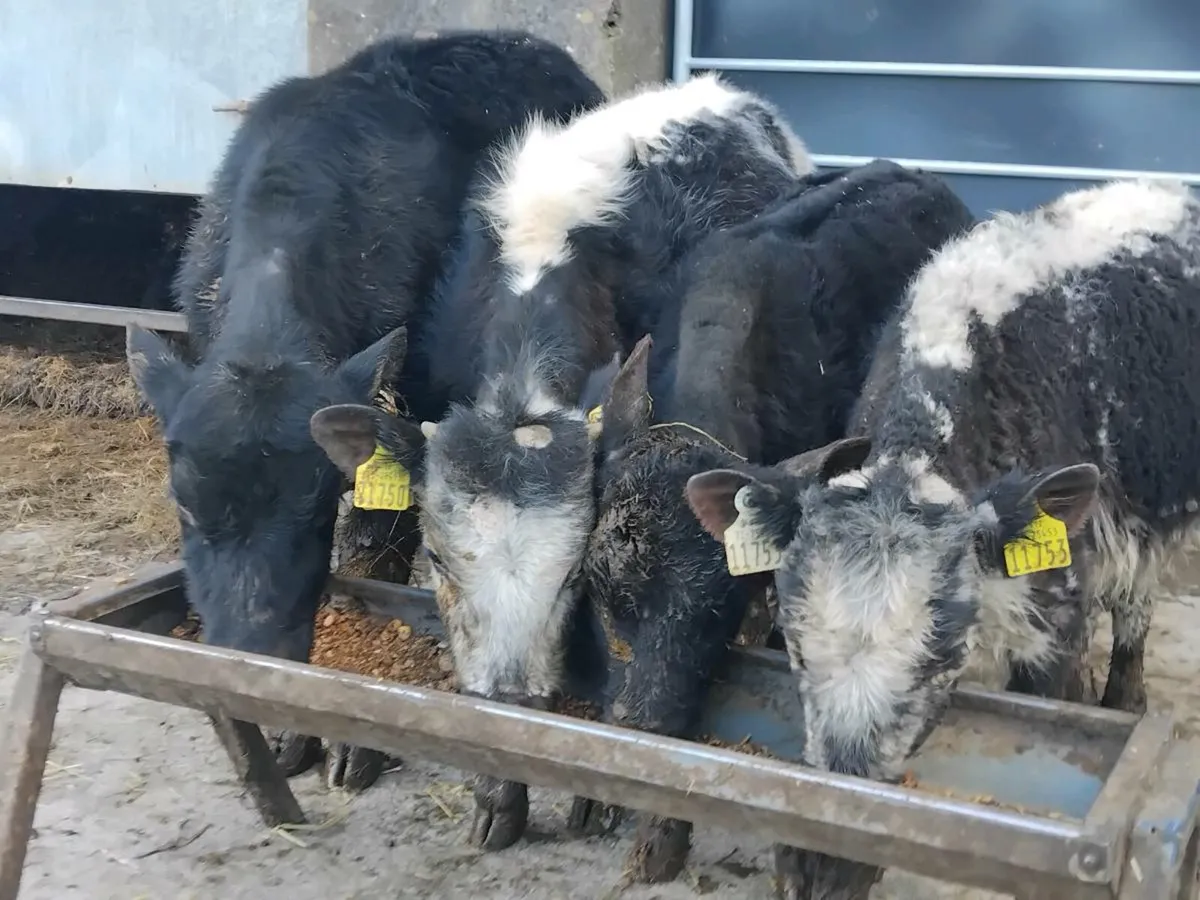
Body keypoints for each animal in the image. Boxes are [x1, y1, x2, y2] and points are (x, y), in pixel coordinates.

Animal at [685, 177, 1200, 899]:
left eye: (940, 656)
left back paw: (1125, 695)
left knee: (1136, 602)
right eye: (793, 645)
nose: (821, 873)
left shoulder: (1056, 623)